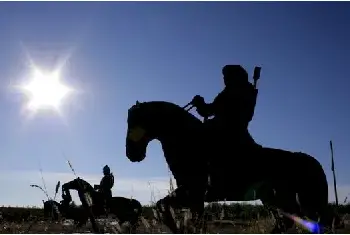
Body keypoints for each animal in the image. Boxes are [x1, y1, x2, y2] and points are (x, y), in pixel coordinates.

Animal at [126, 100, 336, 233]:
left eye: (135, 121)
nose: (132, 155)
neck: (194, 143)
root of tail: (312, 162)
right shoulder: (193, 196)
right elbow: (178, 213)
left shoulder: (192, 191)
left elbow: (165, 207)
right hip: (276, 200)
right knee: (287, 222)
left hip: (298, 201)